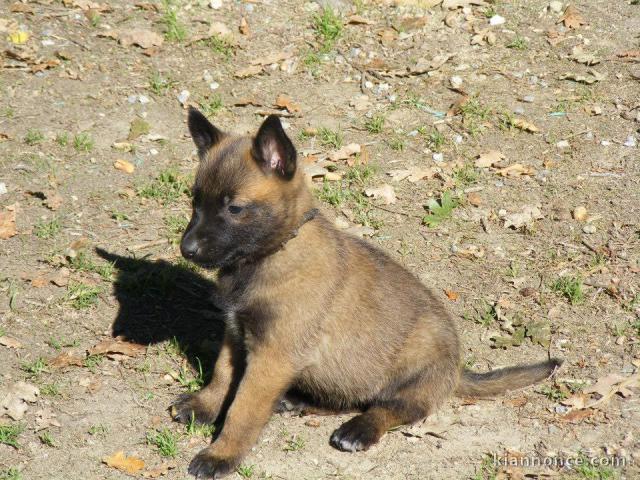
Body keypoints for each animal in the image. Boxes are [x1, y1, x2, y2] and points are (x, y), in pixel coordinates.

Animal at [171, 107, 560, 478]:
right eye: (195, 202)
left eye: (234, 208)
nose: (186, 249)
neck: (274, 252)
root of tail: (457, 370)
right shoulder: (236, 334)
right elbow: (222, 374)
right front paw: (204, 406)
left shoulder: (272, 356)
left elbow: (243, 409)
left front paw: (221, 454)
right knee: (349, 397)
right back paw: (298, 401)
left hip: (416, 366)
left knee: (394, 408)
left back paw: (359, 429)